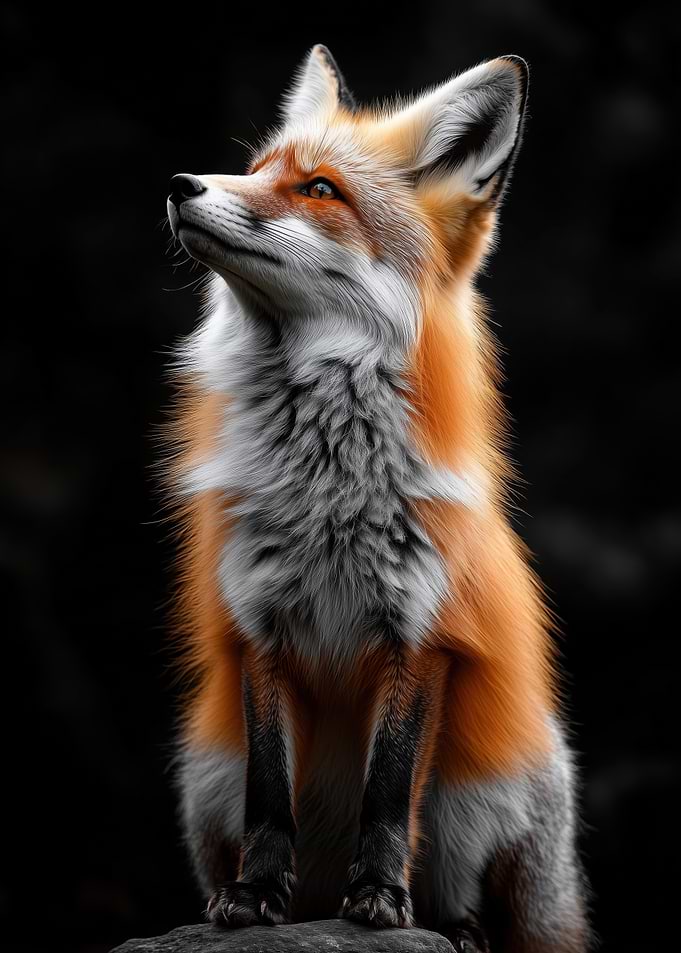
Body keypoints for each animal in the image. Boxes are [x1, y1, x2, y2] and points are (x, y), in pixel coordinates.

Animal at [164, 45, 591, 952]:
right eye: (256, 169)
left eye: (319, 189)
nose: (180, 183)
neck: (327, 490)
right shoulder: (259, 627)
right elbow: (270, 796)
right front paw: (255, 897)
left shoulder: (425, 634)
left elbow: (389, 794)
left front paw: (379, 899)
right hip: (202, 772)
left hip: (494, 790)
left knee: (469, 892)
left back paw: (453, 926)